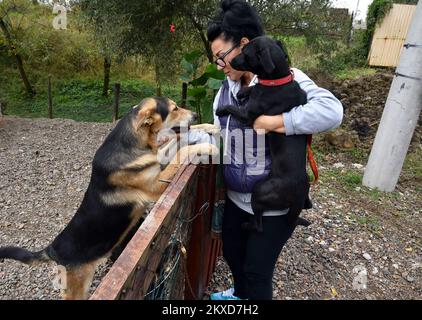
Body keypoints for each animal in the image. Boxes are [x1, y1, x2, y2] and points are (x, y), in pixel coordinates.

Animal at [0, 98, 218, 300]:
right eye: (175, 109)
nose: (195, 115)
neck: (133, 143)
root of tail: (53, 249)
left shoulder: (157, 160)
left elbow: (178, 139)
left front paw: (209, 126)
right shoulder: (156, 185)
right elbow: (182, 151)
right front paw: (208, 147)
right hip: (78, 287)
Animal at [216, 36, 312, 231]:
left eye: (245, 53)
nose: (231, 61)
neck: (278, 81)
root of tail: (298, 196)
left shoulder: (247, 114)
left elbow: (233, 107)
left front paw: (222, 109)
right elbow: (254, 87)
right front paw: (243, 91)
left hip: (260, 191)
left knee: (259, 225)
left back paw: (247, 225)